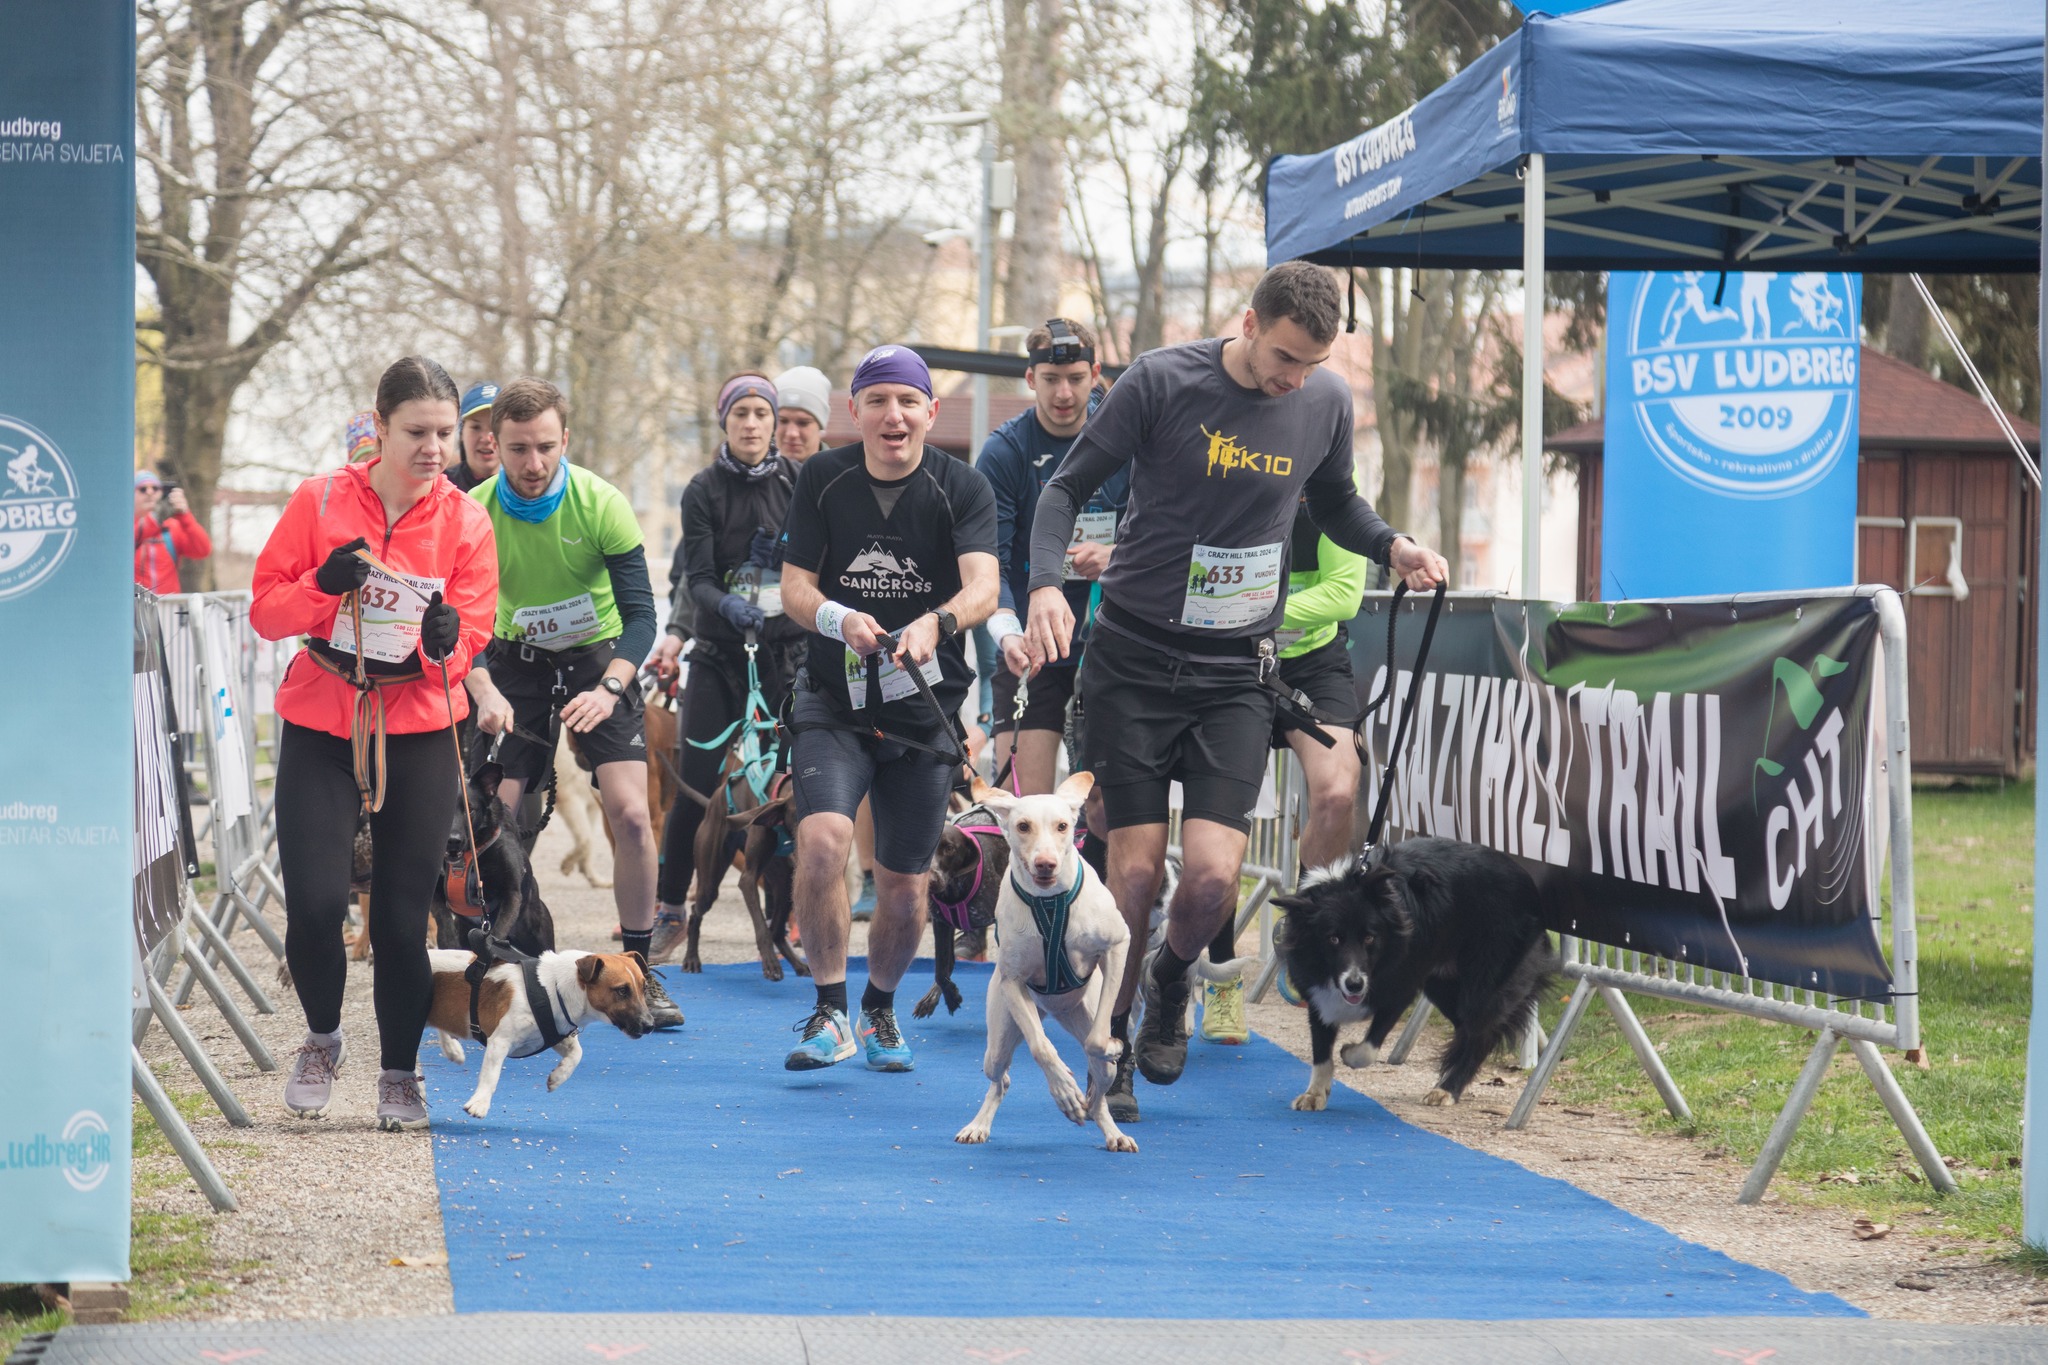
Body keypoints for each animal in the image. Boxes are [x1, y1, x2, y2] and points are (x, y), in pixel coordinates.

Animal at [428, 947, 654, 1118]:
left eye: (644, 987)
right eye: (622, 990)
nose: (650, 1025)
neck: (555, 988)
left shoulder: (554, 1033)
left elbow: (577, 1053)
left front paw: (558, 1077)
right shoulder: (500, 1041)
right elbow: (491, 1075)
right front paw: (479, 1103)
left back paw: (452, 1050)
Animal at [430, 761, 558, 960]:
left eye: (471, 810)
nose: (453, 840)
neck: (468, 858)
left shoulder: (511, 894)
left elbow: (496, 932)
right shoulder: (436, 896)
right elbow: (444, 921)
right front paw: (449, 944)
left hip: (539, 938)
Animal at [954, 772, 1137, 1153]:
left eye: (1062, 826)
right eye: (1023, 826)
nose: (1045, 864)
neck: (1050, 902)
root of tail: (1053, 1009)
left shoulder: (1117, 945)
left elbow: (1097, 1041)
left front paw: (1111, 1046)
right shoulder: (1012, 981)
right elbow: (1042, 1048)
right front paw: (1064, 1092)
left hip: (1085, 1024)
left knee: (1099, 1091)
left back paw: (1111, 1128)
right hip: (999, 1040)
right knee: (1001, 1079)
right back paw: (978, 1125)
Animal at [1272, 837, 1558, 1113]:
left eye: (1369, 938)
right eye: (1333, 939)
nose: (1355, 985)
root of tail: (1527, 880)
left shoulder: (1400, 987)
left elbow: (1367, 1050)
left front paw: (1348, 1053)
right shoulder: (1318, 994)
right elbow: (1321, 1052)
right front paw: (1315, 1094)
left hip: (1484, 980)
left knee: (1480, 1033)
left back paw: (1448, 1089)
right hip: (1443, 985)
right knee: (1467, 1030)